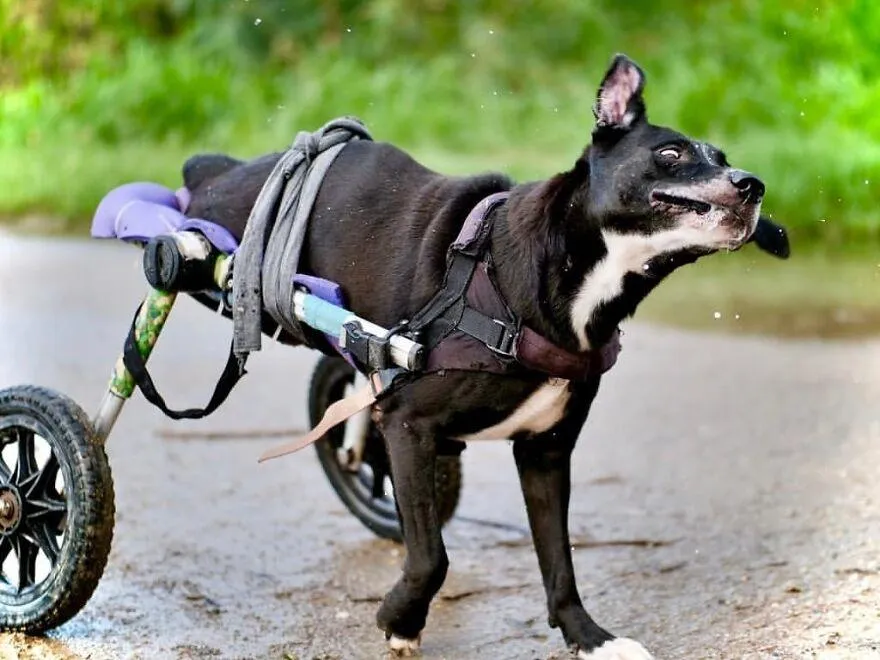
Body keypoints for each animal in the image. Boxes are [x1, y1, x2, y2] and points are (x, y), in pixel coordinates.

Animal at [179, 54, 784, 656]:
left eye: (724, 158)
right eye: (671, 154)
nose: (752, 184)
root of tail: (216, 172)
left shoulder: (545, 450)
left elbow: (558, 559)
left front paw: (589, 637)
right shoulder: (409, 424)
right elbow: (431, 556)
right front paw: (401, 619)